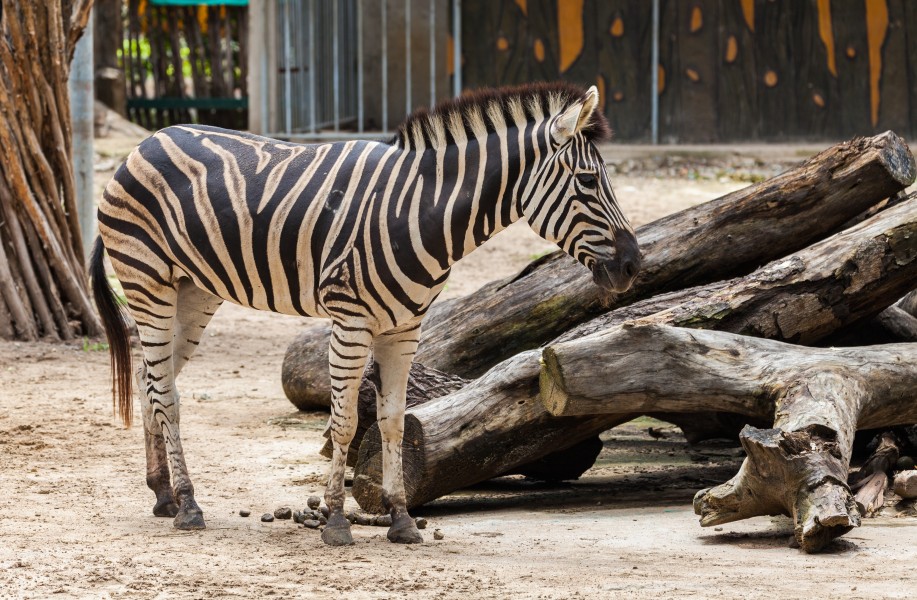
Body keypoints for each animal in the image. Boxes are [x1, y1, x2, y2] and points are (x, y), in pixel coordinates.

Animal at [89, 82, 641, 546]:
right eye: (588, 181)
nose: (633, 266)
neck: (420, 212)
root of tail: (146, 142)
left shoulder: (404, 328)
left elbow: (394, 420)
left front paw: (400, 518)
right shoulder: (350, 319)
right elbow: (344, 422)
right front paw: (335, 521)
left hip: (194, 291)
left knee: (152, 381)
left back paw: (163, 493)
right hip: (148, 282)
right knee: (167, 394)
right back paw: (187, 504)